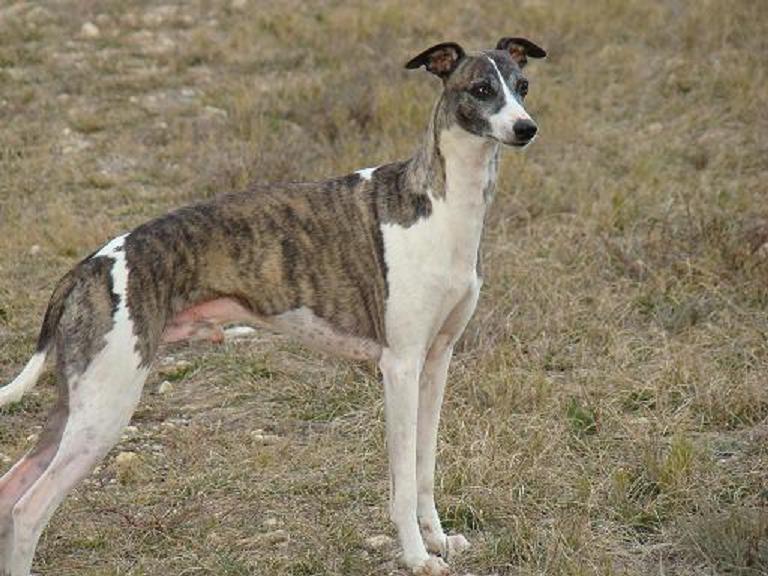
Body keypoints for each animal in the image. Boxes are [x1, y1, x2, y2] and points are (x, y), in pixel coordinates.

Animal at [1, 38, 544, 572]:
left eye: (522, 85)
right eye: (480, 88)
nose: (527, 128)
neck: (443, 205)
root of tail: (87, 267)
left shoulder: (436, 361)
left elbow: (424, 466)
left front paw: (439, 539)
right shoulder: (400, 366)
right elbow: (402, 481)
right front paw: (416, 556)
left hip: (78, 404)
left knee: (12, 488)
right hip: (105, 408)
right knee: (28, 510)